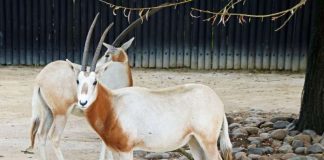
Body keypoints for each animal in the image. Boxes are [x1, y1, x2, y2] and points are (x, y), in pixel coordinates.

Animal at [26, 12, 140, 160]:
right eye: (78, 81)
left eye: (106, 54)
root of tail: (40, 79)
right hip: (61, 113)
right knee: (54, 138)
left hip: (48, 112)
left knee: (41, 135)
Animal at [72, 36, 233, 160]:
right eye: (77, 81)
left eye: (95, 81)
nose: (83, 102)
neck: (113, 104)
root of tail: (218, 101)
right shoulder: (114, 149)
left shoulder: (126, 149)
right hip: (195, 141)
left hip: (208, 141)